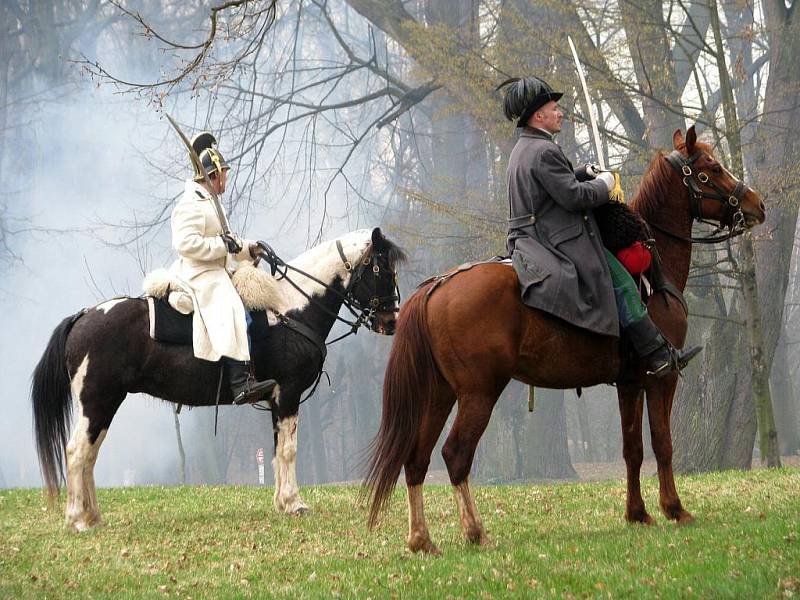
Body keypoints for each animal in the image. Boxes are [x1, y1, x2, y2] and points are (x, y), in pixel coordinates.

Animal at [31, 226, 406, 528]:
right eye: (380, 268)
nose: (391, 321)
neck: (290, 309)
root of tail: (83, 316)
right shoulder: (289, 394)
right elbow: (288, 450)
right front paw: (294, 503)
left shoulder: (276, 400)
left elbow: (276, 450)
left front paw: (282, 503)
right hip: (98, 402)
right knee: (77, 452)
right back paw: (78, 519)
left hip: (104, 404)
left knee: (89, 455)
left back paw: (92, 516)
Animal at [366, 126, 764, 552]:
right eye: (710, 168)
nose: (757, 204)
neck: (652, 270)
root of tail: (435, 287)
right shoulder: (662, 377)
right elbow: (662, 443)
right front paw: (675, 509)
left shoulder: (629, 383)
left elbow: (633, 449)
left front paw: (637, 514)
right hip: (479, 393)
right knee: (456, 454)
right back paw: (475, 532)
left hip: (440, 395)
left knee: (416, 458)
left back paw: (421, 539)